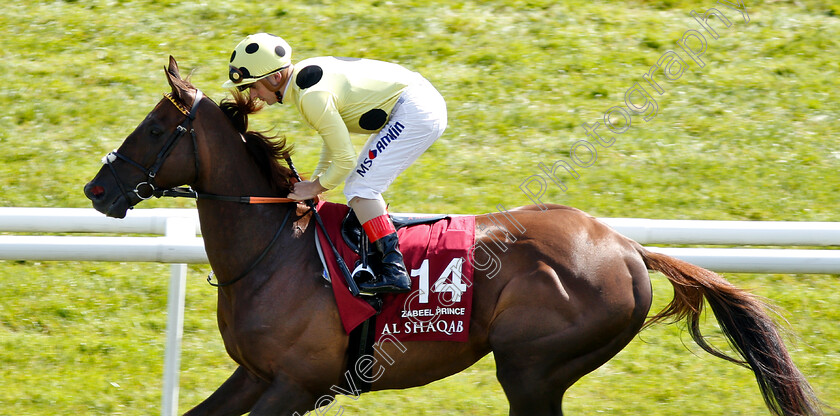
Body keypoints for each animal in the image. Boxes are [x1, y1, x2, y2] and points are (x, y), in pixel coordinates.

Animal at [83, 57, 820, 414]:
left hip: (531, 368)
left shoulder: (295, 382)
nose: (97, 190)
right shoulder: (255, 374)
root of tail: (626, 247)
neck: (272, 253)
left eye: (155, 128)